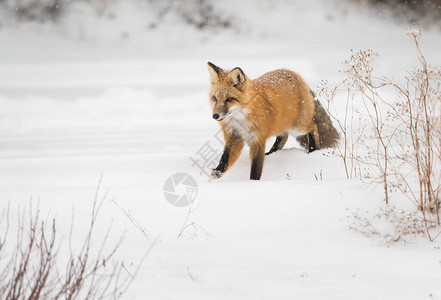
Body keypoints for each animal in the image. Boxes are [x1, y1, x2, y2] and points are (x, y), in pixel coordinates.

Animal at [206, 62, 336, 180]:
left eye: (229, 99)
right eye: (215, 98)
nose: (215, 116)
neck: (240, 119)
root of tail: (296, 74)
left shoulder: (257, 138)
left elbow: (256, 165)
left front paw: (253, 182)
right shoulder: (235, 136)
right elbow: (225, 157)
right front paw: (218, 171)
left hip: (298, 127)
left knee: (313, 126)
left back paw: (313, 149)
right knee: (283, 137)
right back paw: (271, 153)